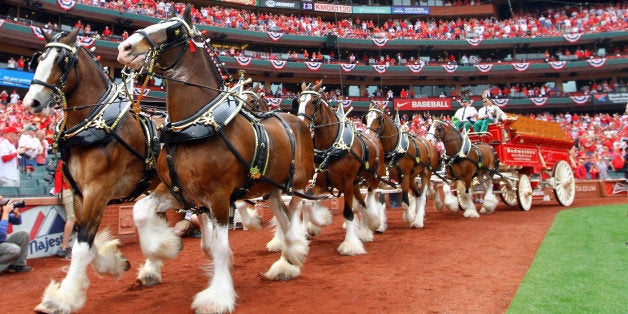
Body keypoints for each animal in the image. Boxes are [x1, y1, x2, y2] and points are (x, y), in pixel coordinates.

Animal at [21, 29, 163, 314]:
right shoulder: (78, 192)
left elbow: (83, 241)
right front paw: (116, 262)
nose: (31, 102)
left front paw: (63, 298)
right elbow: (81, 234)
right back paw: (154, 266)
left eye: (61, 61)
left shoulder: (99, 188)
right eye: (38, 59)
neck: (93, 124)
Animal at [114, 6, 314, 312]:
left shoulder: (219, 197)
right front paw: (162, 249)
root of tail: (297, 120)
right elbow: (139, 211)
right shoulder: (178, 191)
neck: (195, 125)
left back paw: (291, 251)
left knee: (293, 216)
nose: (124, 48)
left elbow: (220, 248)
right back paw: (285, 259)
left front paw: (217, 296)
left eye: (174, 30)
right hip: (270, 188)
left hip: (299, 183)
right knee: (281, 216)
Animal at [296, 80, 388, 255]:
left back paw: (373, 221)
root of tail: (374, 137)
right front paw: (320, 222)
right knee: (362, 203)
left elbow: (348, 212)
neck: (333, 147)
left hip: (372, 177)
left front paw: (350, 244)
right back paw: (365, 230)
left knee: (370, 195)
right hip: (355, 184)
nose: (300, 125)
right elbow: (309, 202)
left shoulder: (346, 184)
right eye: (298, 101)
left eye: (314, 101)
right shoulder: (321, 184)